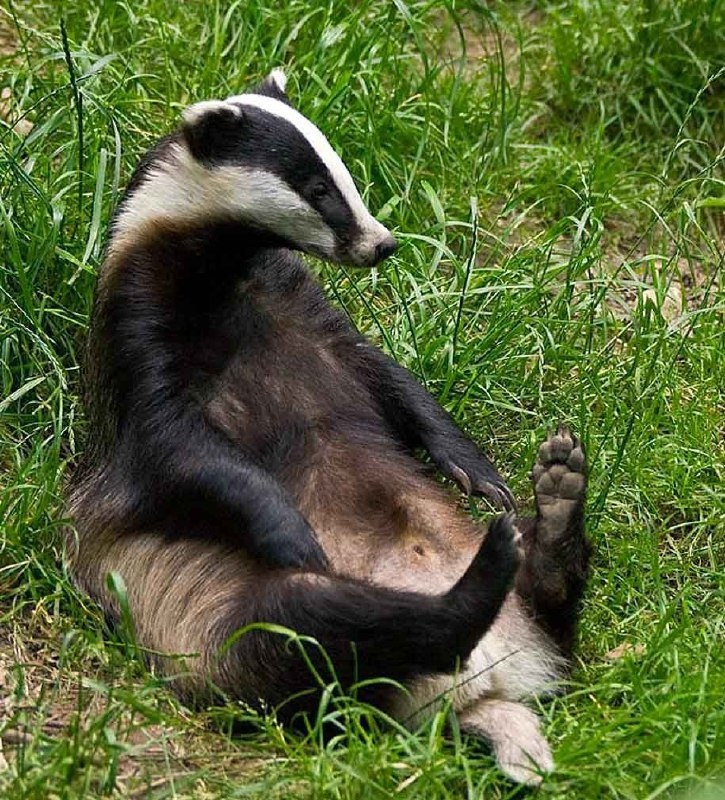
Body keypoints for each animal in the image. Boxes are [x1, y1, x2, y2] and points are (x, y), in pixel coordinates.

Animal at [67, 69, 591, 786]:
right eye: (316, 189)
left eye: (342, 171)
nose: (383, 243)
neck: (226, 283)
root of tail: (484, 689)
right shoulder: (140, 336)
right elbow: (179, 450)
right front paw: (287, 526)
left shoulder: (304, 311)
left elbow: (391, 378)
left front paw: (474, 468)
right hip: (223, 627)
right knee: (315, 624)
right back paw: (474, 583)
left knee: (552, 603)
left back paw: (555, 503)